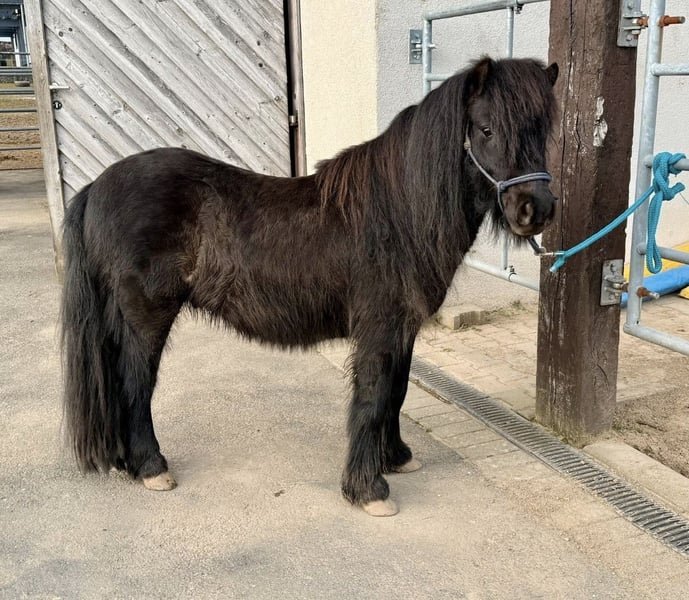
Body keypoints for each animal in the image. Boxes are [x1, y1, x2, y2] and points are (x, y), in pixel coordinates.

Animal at [60, 57, 559, 517]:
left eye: (544, 131)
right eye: (486, 128)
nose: (535, 209)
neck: (397, 212)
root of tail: (95, 186)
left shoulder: (404, 329)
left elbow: (397, 391)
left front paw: (396, 457)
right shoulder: (379, 327)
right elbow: (374, 395)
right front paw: (368, 489)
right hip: (147, 316)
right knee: (135, 383)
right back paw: (151, 467)